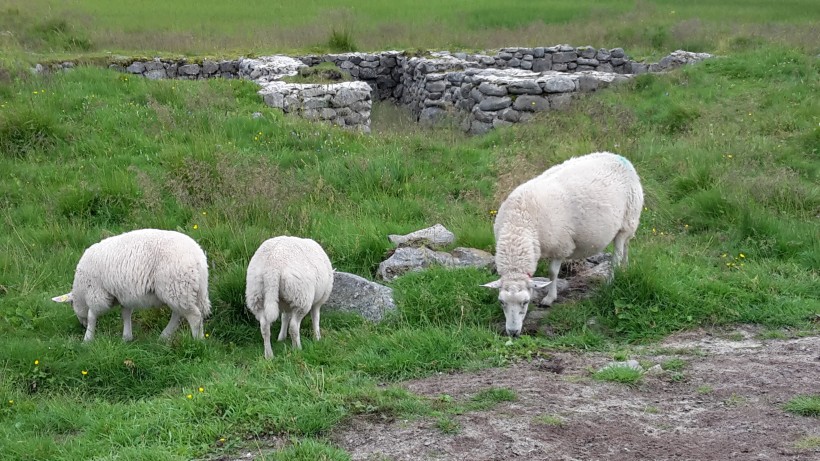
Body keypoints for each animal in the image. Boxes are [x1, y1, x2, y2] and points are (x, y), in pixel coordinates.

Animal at [51, 229, 211, 342]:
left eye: (71, 305)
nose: (81, 326)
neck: (81, 291)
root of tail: (199, 259)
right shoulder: (123, 294)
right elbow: (125, 314)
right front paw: (126, 337)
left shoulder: (96, 293)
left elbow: (92, 315)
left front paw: (87, 338)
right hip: (183, 290)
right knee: (179, 314)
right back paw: (165, 336)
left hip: (176, 285)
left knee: (194, 316)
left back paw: (197, 341)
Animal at [484, 153, 644, 336]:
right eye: (501, 302)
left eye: (525, 302)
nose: (512, 332)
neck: (519, 225)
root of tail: (620, 157)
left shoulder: (561, 246)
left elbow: (553, 273)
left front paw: (549, 298)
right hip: (629, 225)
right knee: (626, 247)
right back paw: (625, 268)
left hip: (627, 220)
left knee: (617, 255)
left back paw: (611, 280)